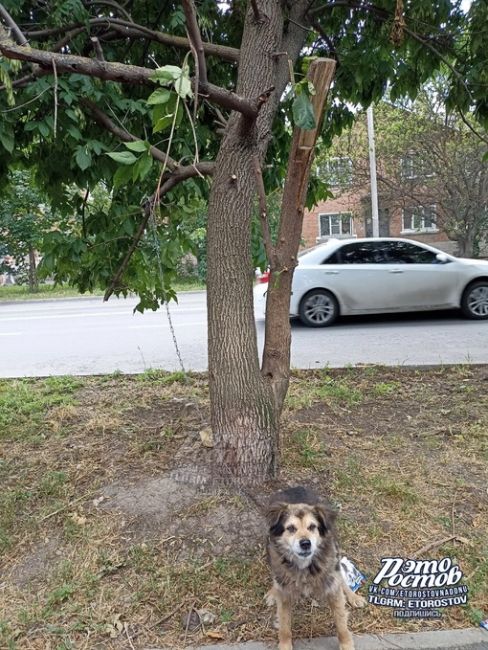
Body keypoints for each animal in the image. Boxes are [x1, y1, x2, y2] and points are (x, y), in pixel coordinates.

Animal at [264, 484, 364, 648]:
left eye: (312, 527)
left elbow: (341, 622)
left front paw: (346, 645)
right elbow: (284, 625)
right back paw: (273, 591)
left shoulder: (333, 586)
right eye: (291, 528)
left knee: (341, 578)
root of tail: (295, 487)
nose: (305, 543)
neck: (304, 565)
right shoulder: (285, 595)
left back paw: (353, 596)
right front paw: (285, 645)